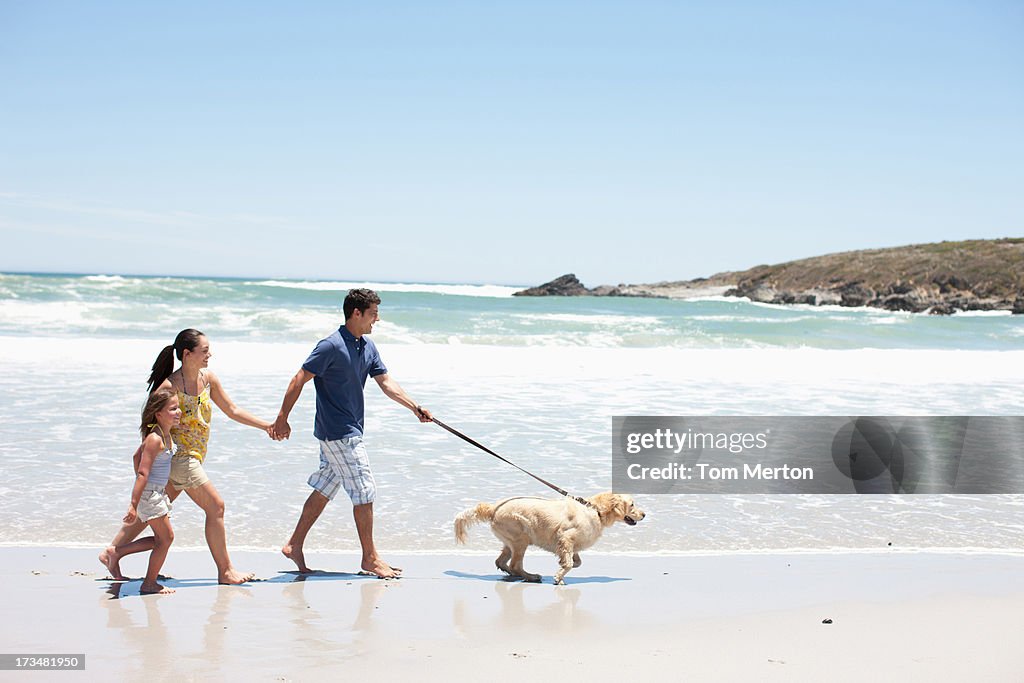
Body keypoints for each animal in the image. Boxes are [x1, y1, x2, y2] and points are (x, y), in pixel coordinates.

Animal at [454, 493, 643, 585]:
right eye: (632, 504)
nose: (644, 514)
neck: (595, 510)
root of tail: (493, 508)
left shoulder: (570, 543)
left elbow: (575, 561)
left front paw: (566, 565)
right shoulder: (565, 537)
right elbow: (568, 562)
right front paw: (559, 578)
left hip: (511, 540)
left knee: (501, 561)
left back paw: (513, 574)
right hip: (521, 537)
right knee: (515, 564)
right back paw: (531, 576)